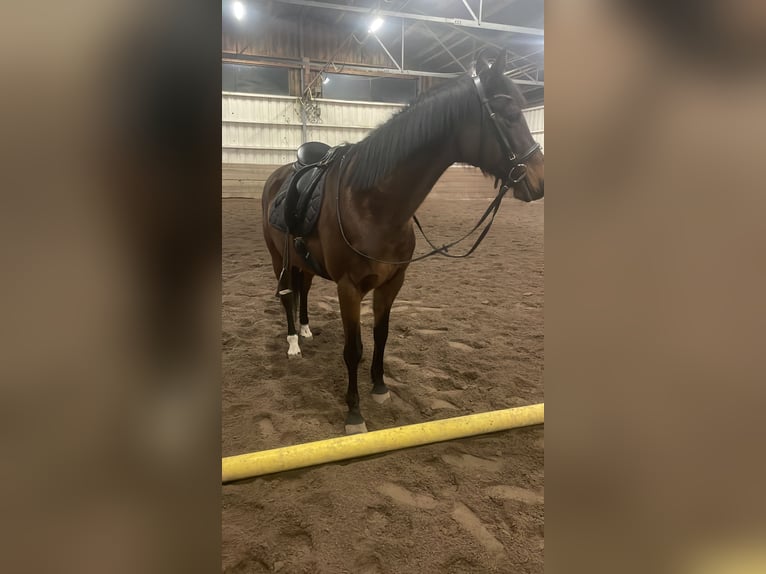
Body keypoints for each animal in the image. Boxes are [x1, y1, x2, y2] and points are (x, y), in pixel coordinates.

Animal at [262, 50, 544, 434]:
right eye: (510, 114)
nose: (539, 181)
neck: (371, 202)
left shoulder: (393, 282)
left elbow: (381, 335)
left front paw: (380, 388)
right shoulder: (349, 288)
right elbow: (353, 348)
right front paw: (354, 413)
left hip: (303, 261)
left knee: (302, 289)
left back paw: (304, 330)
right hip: (278, 257)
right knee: (287, 295)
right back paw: (293, 343)